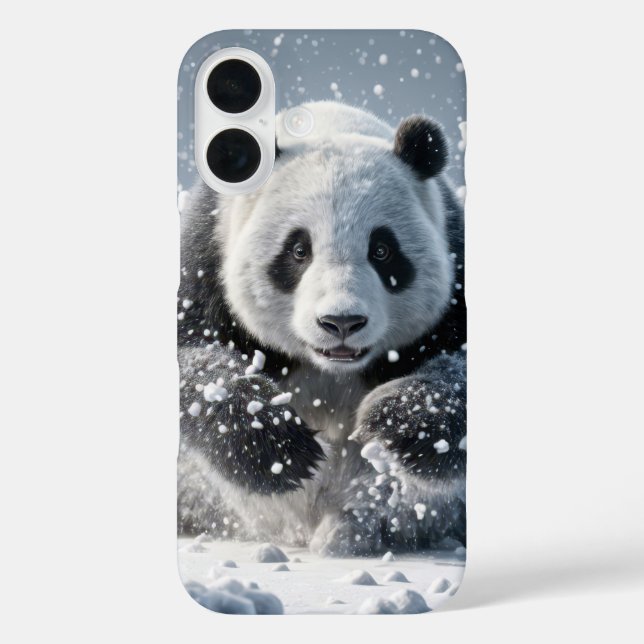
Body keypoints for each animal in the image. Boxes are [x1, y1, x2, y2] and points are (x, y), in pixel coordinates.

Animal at [177, 101, 466, 556]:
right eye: (298, 250)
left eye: (382, 250)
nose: (341, 322)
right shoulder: (205, 260)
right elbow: (195, 363)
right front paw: (280, 448)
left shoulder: (456, 267)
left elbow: (458, 373)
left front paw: (394, 426)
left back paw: (349, 530)